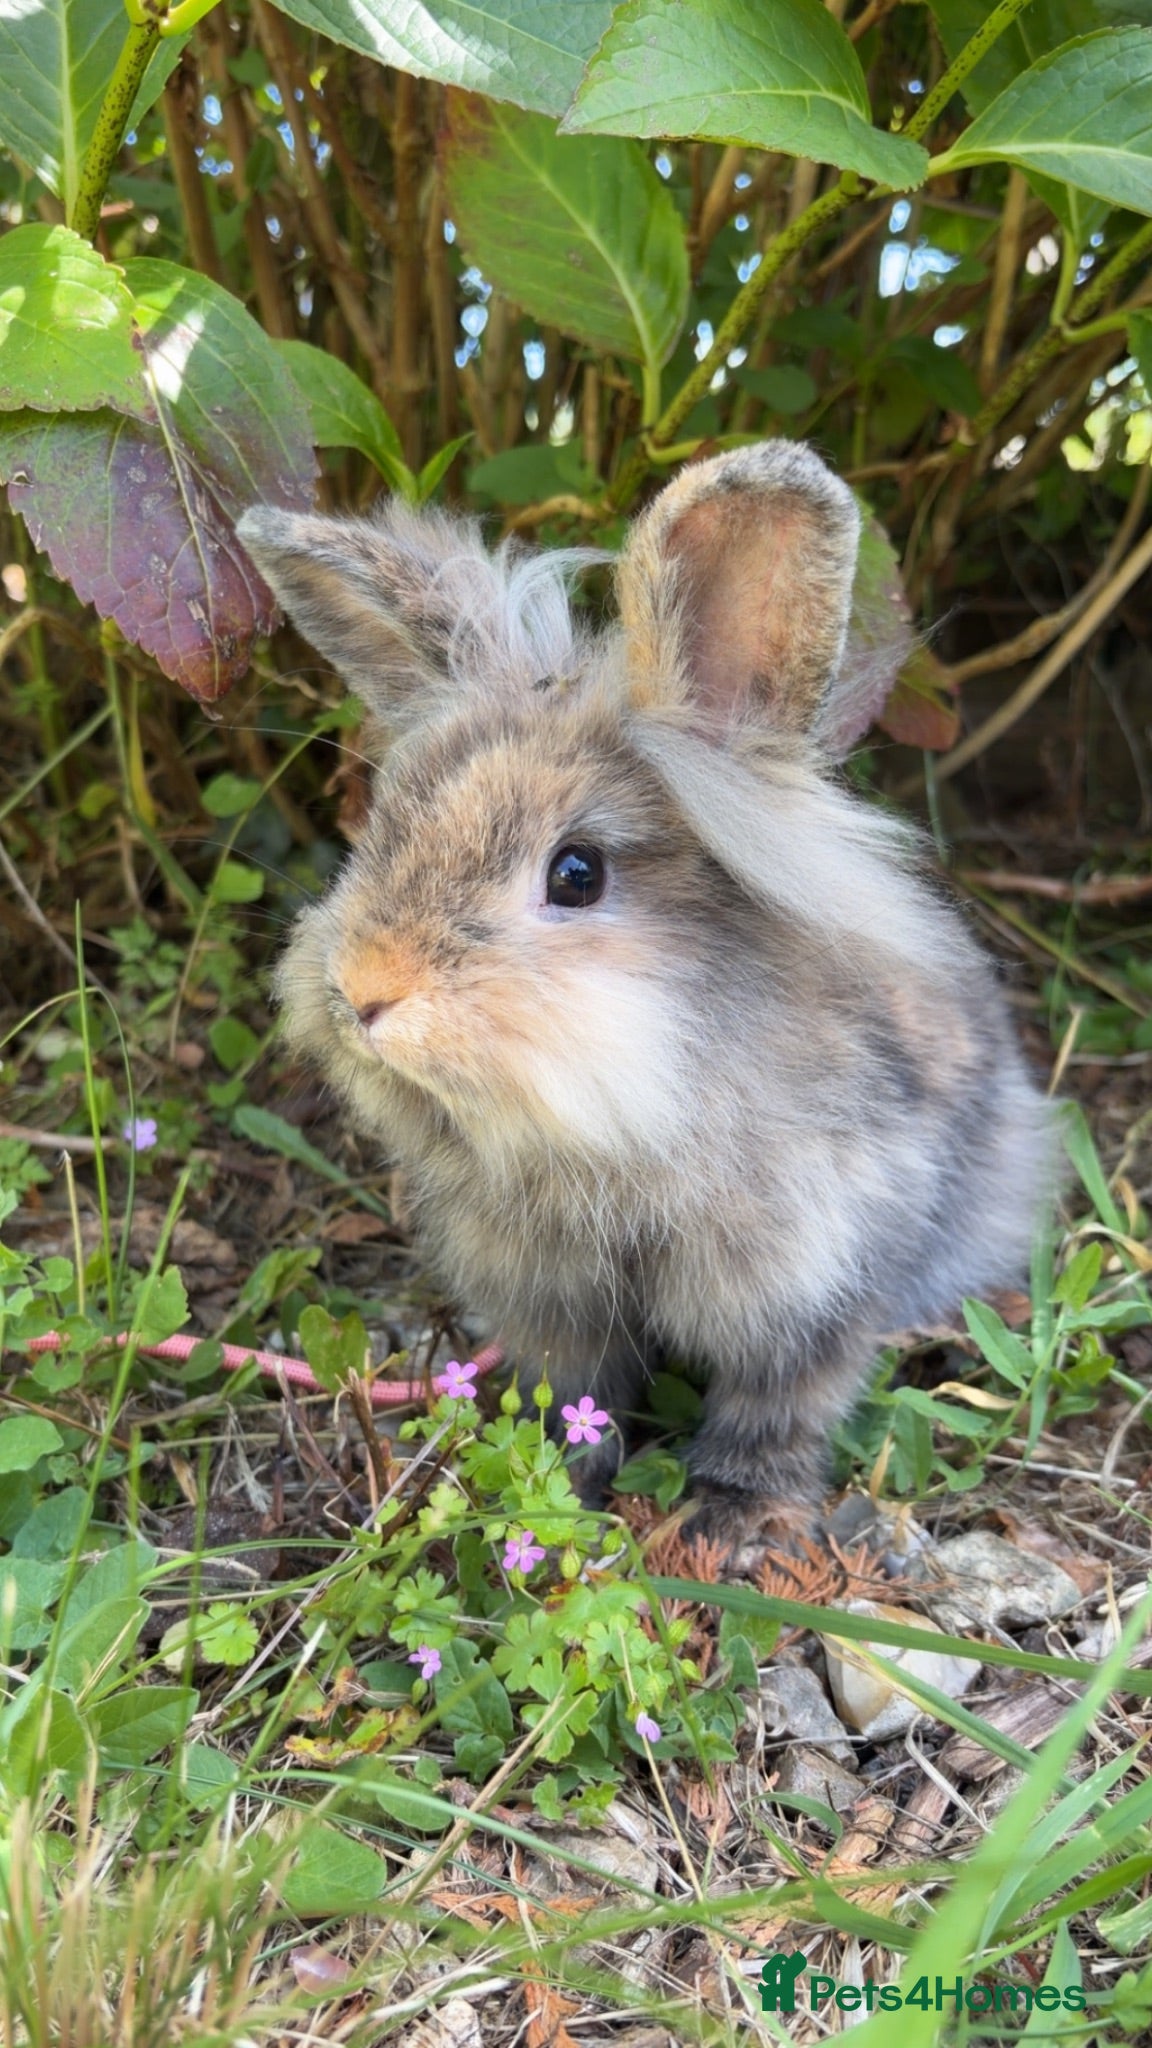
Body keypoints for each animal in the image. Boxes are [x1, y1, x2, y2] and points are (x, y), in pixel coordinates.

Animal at [237, 442, 1050, 1545]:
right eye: (381, 828)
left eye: (576, 874)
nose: (363, 993)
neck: (624, 1121)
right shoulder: (557, 1305)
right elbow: (576, 1390)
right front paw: (560, 1480)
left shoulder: (814, 1286)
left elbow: (779, 1403)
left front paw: (735, 1518)